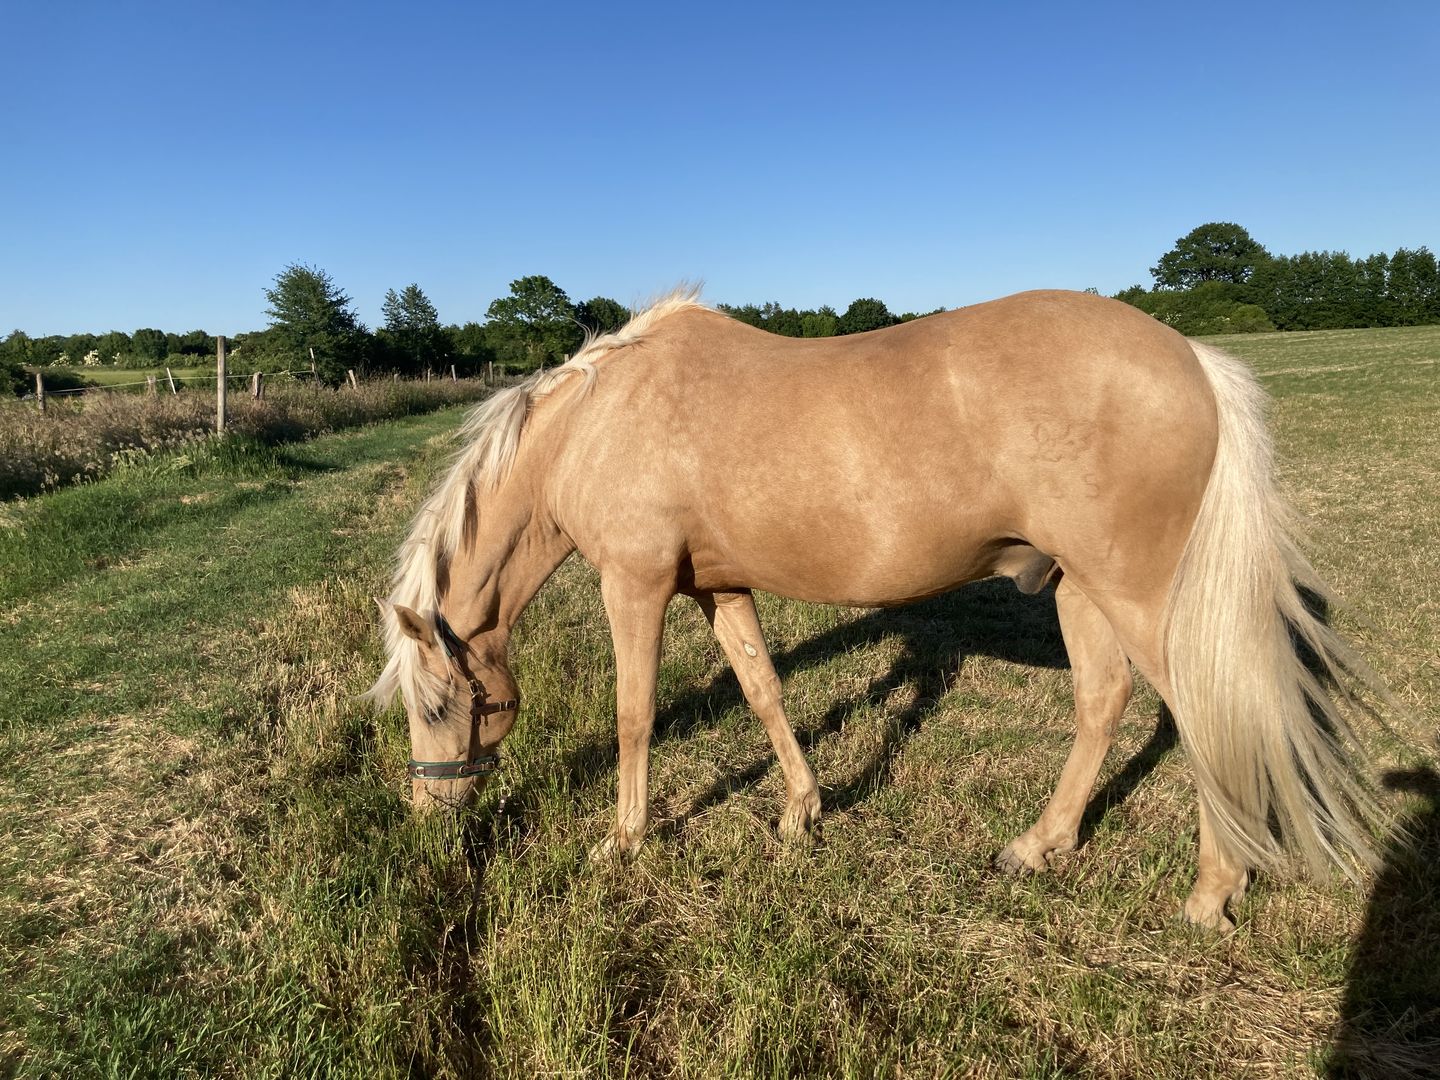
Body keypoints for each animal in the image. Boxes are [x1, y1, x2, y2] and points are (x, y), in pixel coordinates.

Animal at [367, 288, 1384, 931]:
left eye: (440, 702)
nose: (427, 813)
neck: (599, 419)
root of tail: (1193, 358)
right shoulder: (717, 586)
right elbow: (764, 690)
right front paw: (801, 813)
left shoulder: (638, 584)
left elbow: (634, 717)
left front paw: (622, 842)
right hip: (1081, 587)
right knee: (1103, 701)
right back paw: (1039, 847)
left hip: (1134, 592)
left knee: (1204, 715)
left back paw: (1212, 894)